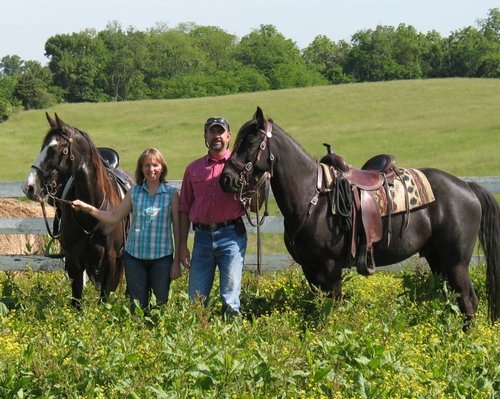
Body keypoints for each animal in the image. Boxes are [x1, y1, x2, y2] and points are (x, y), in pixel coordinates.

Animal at [22, 114, 133, 308]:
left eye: (54, 149)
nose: (29, 187)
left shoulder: (110, 259)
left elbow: (104, 298)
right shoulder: (74, 261)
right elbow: (77, 302)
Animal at [222, 107, 500, 324]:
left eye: (250, 141)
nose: (227, 178)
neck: (313, 196)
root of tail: (467, 187)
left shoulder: (329, 269)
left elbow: (330, 310)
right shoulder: (310, 270)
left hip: (456, 262)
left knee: (468, 301)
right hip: (437, 259)